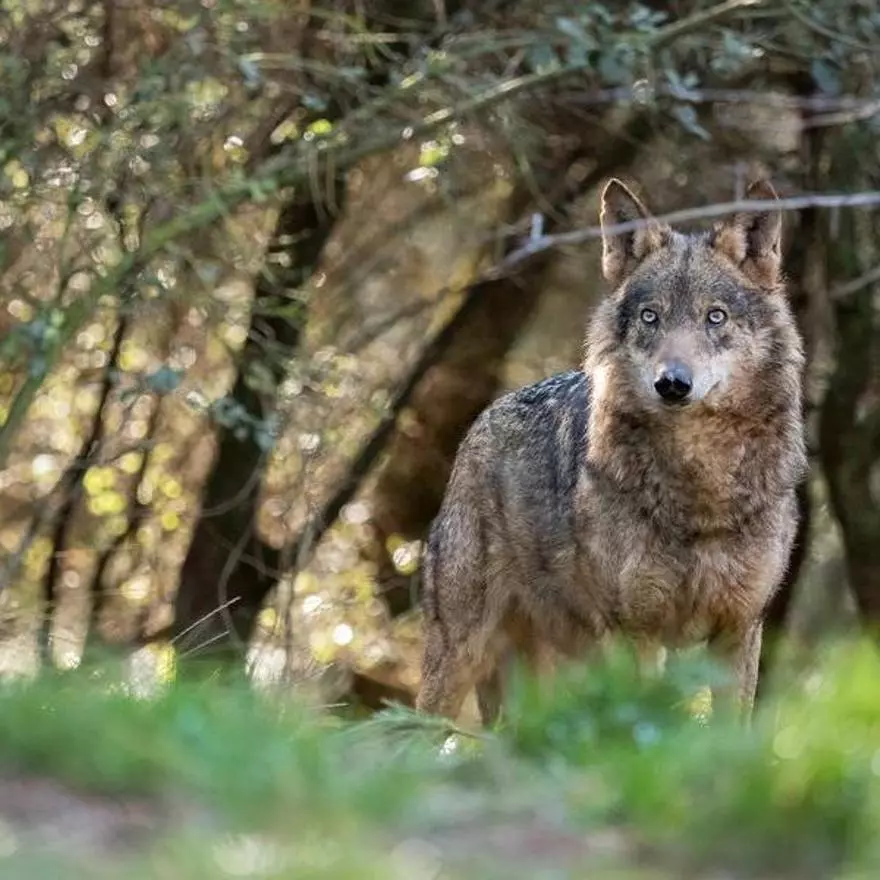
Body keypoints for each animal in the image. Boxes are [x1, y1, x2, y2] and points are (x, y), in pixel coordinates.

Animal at [416, 177, 807, 725]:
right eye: (650, 317)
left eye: (715, 317)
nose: (673, 384)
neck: (700, 493)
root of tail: (484, 418)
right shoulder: (636, 632)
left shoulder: (739, 630)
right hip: (461, 655)